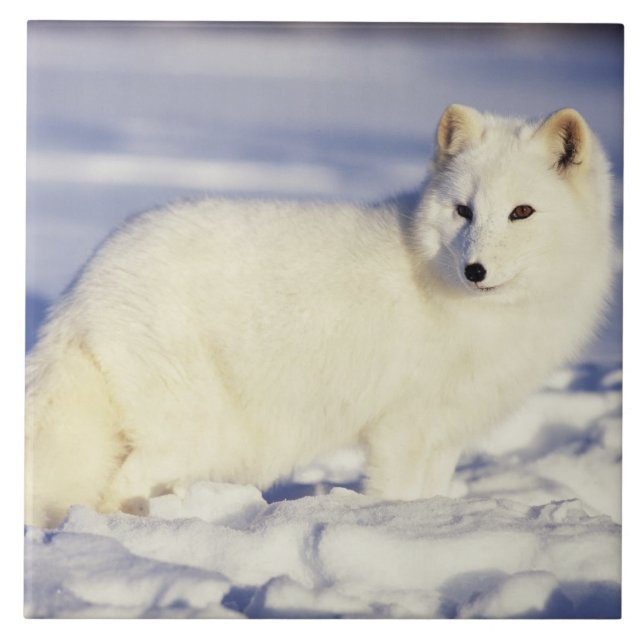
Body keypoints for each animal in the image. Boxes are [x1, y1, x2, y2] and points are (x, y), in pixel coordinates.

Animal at [25, 105, 615, 528]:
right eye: (463, 211)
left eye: (522, 212)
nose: (475, 270)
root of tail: (85, 282)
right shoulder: (401, 429)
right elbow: (400, 495)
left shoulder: (446, 429)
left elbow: (432, 489)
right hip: (198, 430)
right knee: (118, 488)